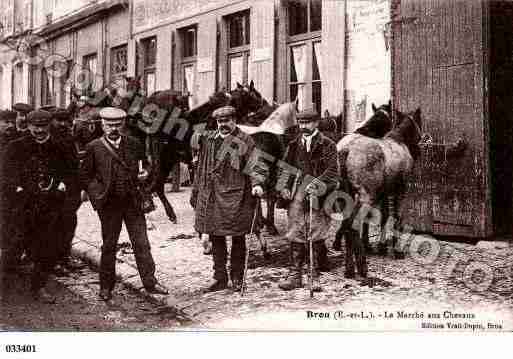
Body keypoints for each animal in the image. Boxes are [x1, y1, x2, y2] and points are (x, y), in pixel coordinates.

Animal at [334, 107, 422, 282]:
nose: (419, 150)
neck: (399, 141)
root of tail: (346, 150)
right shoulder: (400, 191)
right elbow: (397, 218)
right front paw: (397, 250)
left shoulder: (384, 192)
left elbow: (384, 216)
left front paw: (381, 246)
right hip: (366, 197)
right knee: (354, 225)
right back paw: (361, 268)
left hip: (346, 197)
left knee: (347, 225)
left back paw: (349, 268)